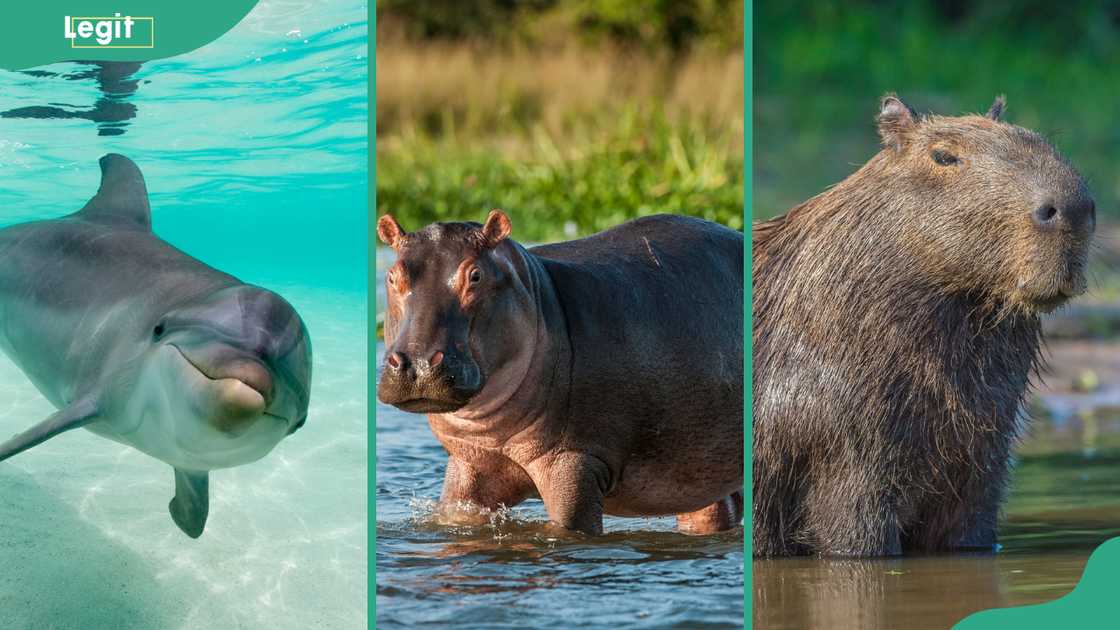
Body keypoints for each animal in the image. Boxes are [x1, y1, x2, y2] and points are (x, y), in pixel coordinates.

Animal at [377, 211, 743, 535]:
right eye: (392, 276)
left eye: (476, 275)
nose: (418, 363)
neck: (538, 295)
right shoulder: (469, 464)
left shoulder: (574, 462)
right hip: (697, 471)